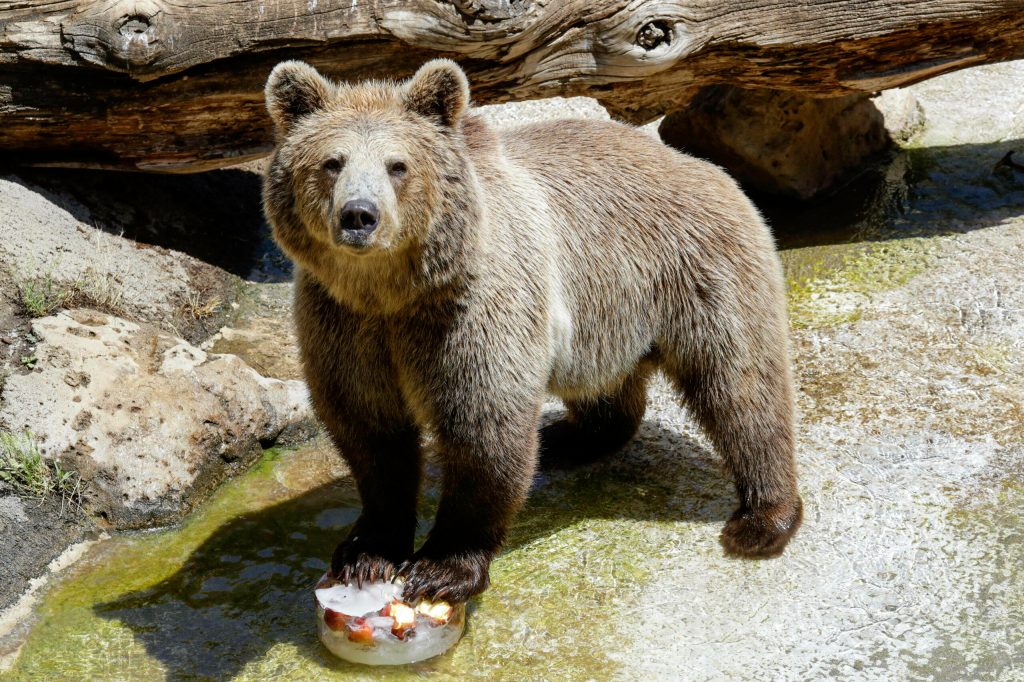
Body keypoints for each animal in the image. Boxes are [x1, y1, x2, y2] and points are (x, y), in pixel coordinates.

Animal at [262, 59, 803, 604]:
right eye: (332, 162)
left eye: (398, 165)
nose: (359, 215)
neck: (392, 292)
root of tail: (698, 164)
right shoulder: (345, 324)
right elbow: (369, 431)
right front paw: (366, 552)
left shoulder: (468, 313)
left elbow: (484, 430)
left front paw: (441, 568)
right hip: (605, 317)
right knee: (610, 386)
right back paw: (569, 437)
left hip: (697, 270)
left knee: (741, 387)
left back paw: (762, 518)